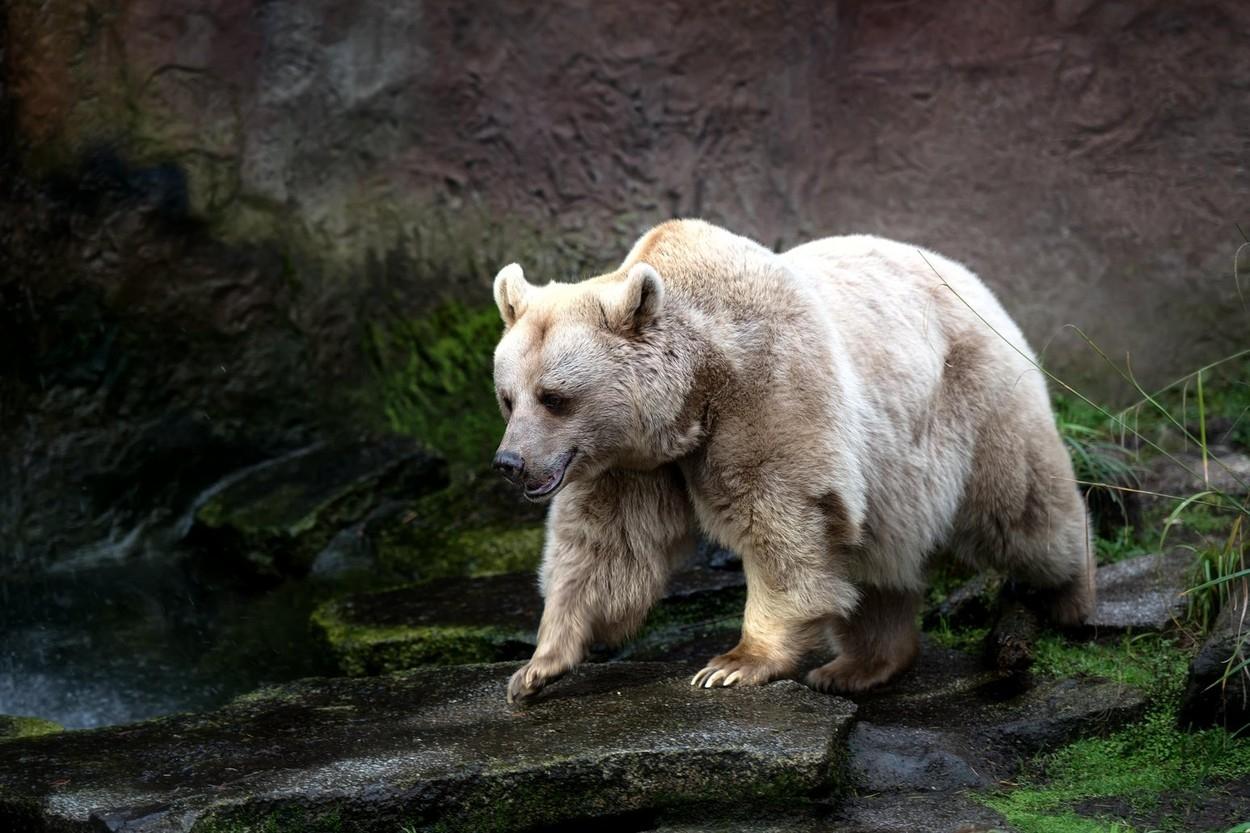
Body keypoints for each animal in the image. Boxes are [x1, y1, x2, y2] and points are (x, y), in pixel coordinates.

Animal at [490, 218, 1095, 700]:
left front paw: (732, 664)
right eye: (508, 397)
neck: (695, 392)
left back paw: (1073, 598)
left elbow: (781, 520)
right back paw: (857, 666)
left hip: (974, 400)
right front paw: (536, 667)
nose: (510, 463)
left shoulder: (770, 389)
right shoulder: (630, 461)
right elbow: (606, 545)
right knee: (880, 557)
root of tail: (971, 278)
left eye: (554, 397)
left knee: (1020, 509)